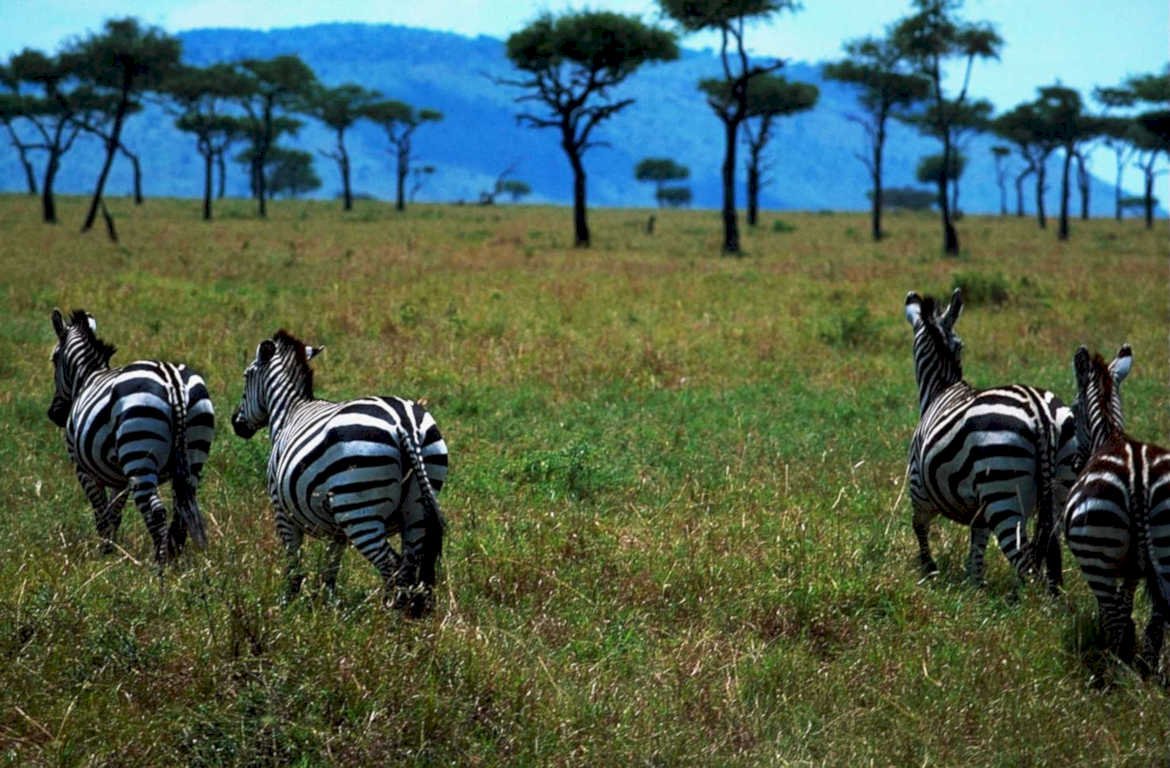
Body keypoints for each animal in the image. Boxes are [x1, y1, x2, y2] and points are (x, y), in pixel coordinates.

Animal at [48, 309, 215, 563]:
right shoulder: (119, 476)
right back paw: (174, 561)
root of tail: (172, 380)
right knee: (181, 510)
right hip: (194, 453)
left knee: (157, 512)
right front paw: (111, 551)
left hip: (139, 456)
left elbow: (101, 512)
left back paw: (158, 566)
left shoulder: (83, 469)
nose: (54, 414)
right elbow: (114, 513)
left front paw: (104, 553)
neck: (87, 376)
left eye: (54, 358)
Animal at [230, 330, 448, 616]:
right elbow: (331, 566)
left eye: (246, 375)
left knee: (391, 565)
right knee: (410, 566)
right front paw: (328, 608)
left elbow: (293, 563)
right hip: (416, 506)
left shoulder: (282, 511)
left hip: (359, 510)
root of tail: (405, 423)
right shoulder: (336, 526)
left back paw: (386, 619)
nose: (236, 423)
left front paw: (287, 606)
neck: (289, 412)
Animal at [904, 289, 1077, 591]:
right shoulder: (980, 510)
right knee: (1047, 549)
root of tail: (1040, 414)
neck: (942, 388)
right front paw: (974, 588)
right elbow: (977, 548)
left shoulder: (918, 487)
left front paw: (929, 570)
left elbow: (919, 528)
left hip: (1003, 492)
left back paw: (1020, 602)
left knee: (1024, 563)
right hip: (1059, 487)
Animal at [1065, 345, 1170, 674]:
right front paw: (1129, 647)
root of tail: (1138, 474)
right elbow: (1127, 605)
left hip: (1095, 553)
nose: (1075, 464)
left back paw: (1111, 667)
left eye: (1073, 411)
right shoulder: (1134, 567)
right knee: (1157, 621)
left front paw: (1119, 647)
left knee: (1111, 616)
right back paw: (1145, 671)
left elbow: (1117, 611)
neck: (1110, 435)